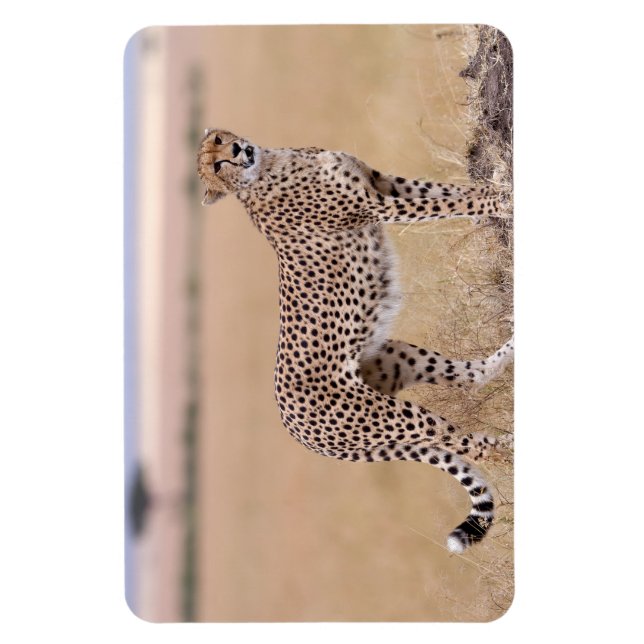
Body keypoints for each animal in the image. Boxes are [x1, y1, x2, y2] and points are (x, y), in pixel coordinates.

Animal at [197, 129, 514, 553]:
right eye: (216, 166)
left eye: (219, 140)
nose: (236, 150)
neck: (268, 165)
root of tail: (296, 433)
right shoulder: (376, 206)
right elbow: (447, 201)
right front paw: (500, 199)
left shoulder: (382, 181)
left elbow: (444, 190)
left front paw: (493, 182)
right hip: (392, 417)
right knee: (468, 445)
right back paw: (512, 444)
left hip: (396, 357)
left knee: (471, 378)